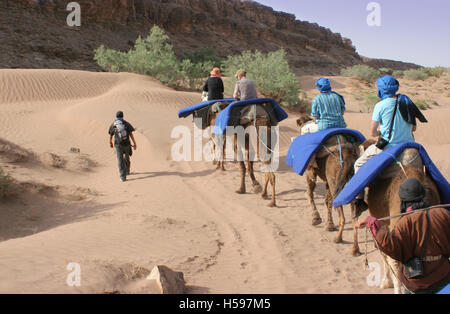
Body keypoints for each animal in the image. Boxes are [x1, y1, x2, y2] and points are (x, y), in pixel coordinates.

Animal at [296, 114, 362, 250]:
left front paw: (316, 218)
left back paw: (338, 239)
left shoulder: (311, 171)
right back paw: (355, 249)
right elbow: (327, 201)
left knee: (342, 215)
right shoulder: (328, 180)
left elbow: (310, 192)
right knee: (353, 216)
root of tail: (347, 156)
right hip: (348, 182)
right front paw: (329, 225)